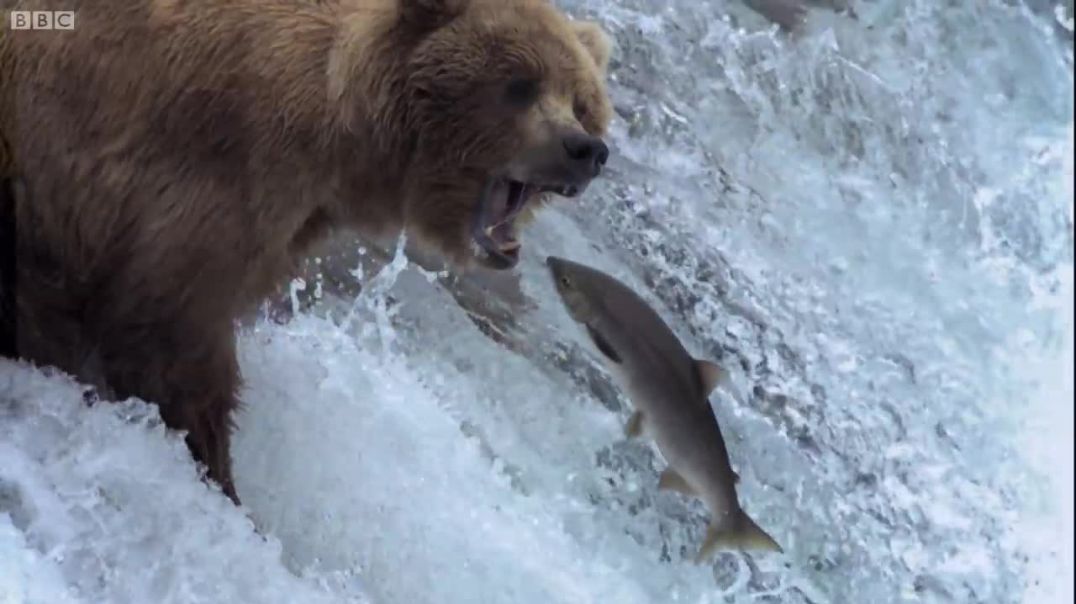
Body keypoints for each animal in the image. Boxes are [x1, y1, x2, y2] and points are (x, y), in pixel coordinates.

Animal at [3, 0, 614, 504]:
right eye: (521, 84)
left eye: (582, 101)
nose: (584, 149)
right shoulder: (215, 174)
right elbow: (167, 335)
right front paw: (220, 478)